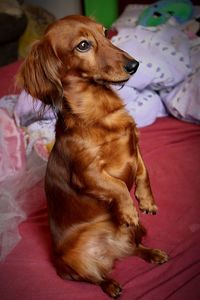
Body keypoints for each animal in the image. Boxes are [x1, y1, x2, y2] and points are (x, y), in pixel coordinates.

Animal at [17, 15, 168, 298]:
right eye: (83, 45)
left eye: (105, 33)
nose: (134, 65)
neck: (102, 112)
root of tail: (110, 254)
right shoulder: (87, 174)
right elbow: (119, 186)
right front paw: (129, 209)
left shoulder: (135, 148)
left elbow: (144, 173)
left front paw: (147, 201)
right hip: (72, 264)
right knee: (95, 278)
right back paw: (110, 285)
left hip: (137, 233)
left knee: (135, 248)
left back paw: (152, 253)